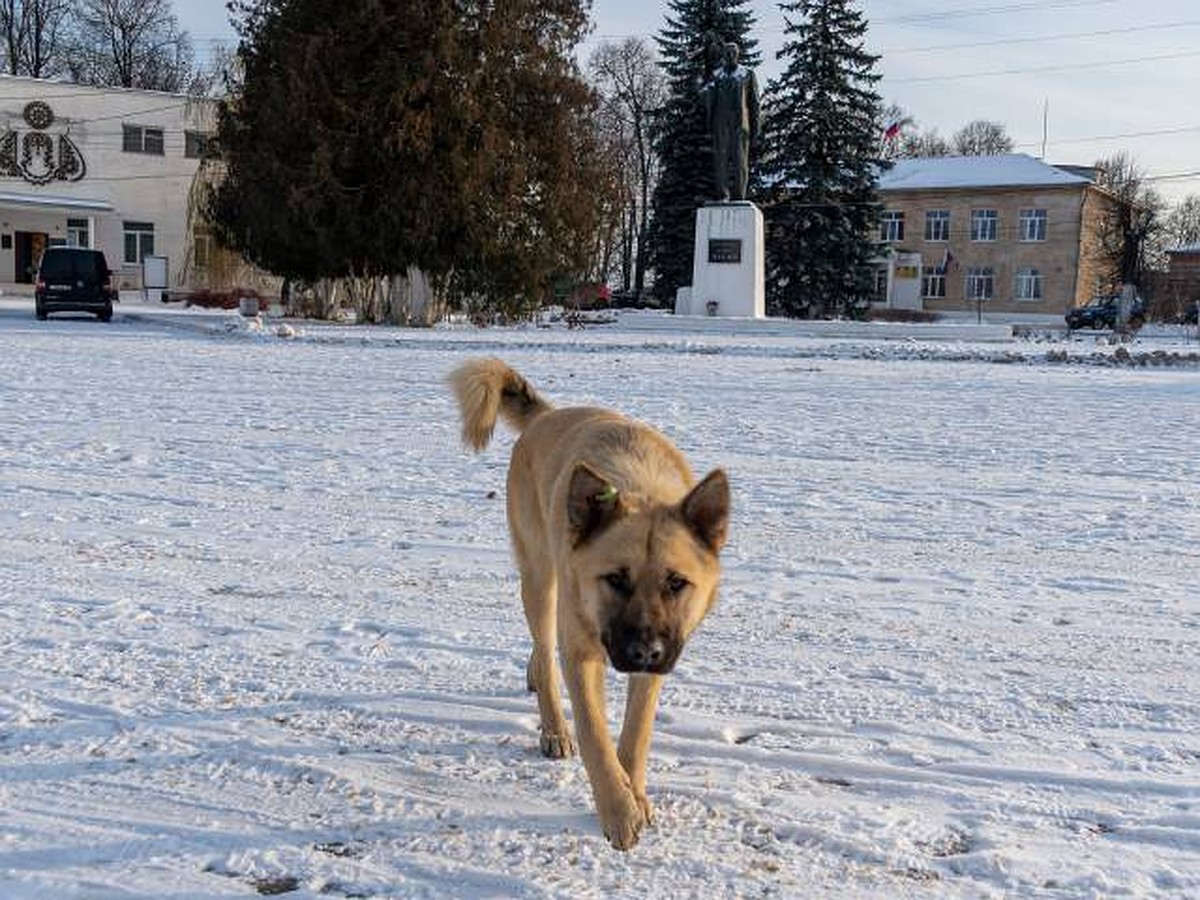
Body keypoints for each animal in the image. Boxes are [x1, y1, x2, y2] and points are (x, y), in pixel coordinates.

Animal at [451, 360, 729, 854]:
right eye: (615, 579)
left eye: (676, 583)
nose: (644, 652)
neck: (639, 488)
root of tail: (547, 416)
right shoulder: (581, 652)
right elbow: (595, 733)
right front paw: (618, 811)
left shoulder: (656, 662)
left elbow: (635, 734)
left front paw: (634, 793)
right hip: (540, 580)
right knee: (546, 653)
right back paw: (553, 727)